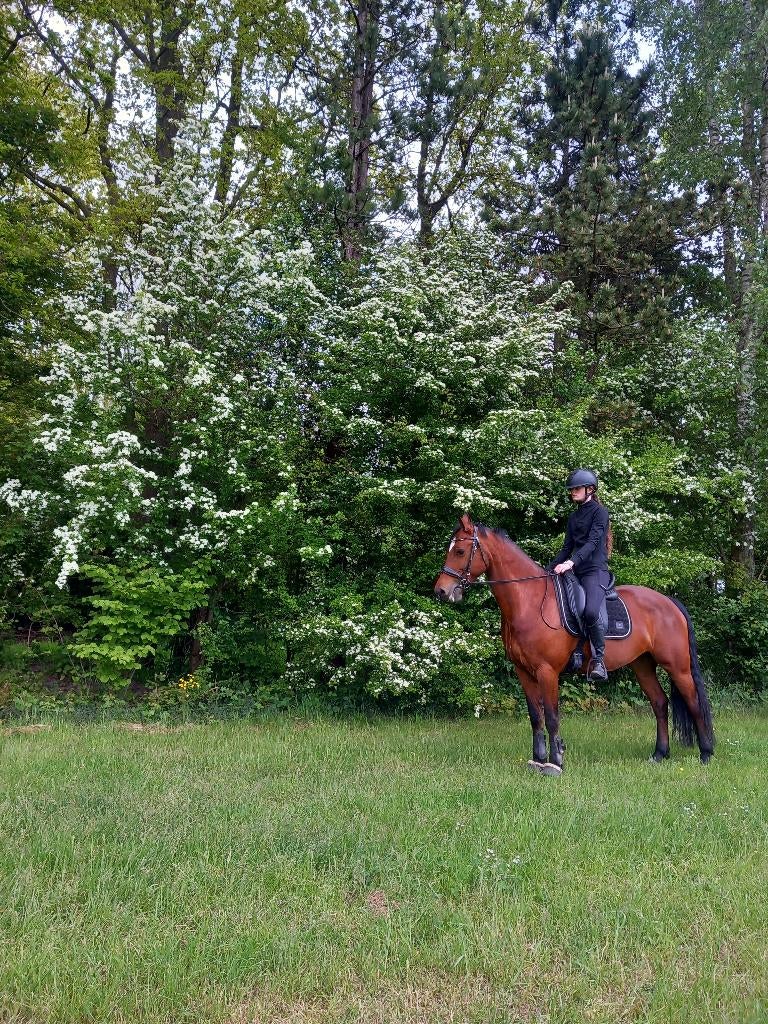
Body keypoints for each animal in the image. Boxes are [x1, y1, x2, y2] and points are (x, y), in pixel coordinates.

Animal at [434, 513, 714, 773]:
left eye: (460, 551)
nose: (441, 591)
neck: (529, 602)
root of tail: (669, 602)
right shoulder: (523, 671)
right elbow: (536, 717)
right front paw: (537, 760)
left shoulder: (547, 671)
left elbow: (551, 716)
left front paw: (555, 763)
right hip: (642, 665)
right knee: (660, 703)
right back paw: (659, 754)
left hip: (677, 667)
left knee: (694, 703)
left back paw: (706, 754)